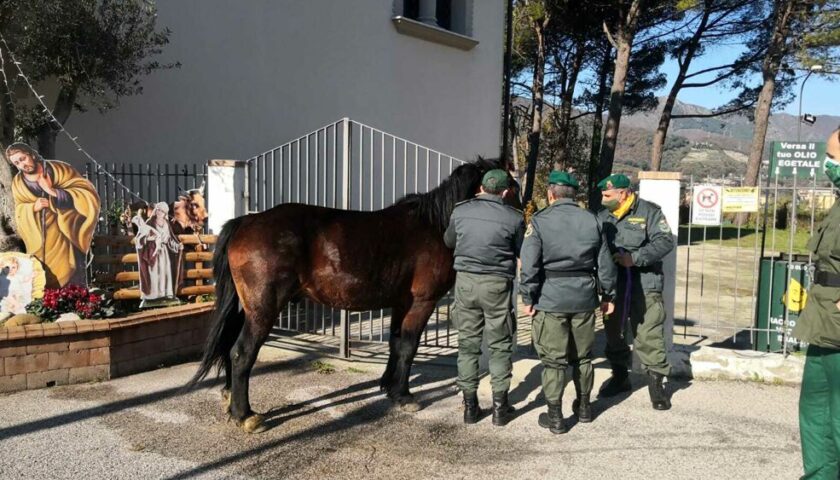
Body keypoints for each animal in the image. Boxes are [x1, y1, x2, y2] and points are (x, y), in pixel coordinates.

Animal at [187, 157, 520, 432]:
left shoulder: (401, 303)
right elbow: (409, 346)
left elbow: (396, 344)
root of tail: (246, 221)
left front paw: (389, 388)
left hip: (245, 308)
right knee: (242, 352)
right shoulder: (421, 303)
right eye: (513, 187)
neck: (435, 225)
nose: (521, 220)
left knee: (230, 347)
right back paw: (245, 415)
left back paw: (230, 401)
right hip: (263, 309)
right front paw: (404, 396)